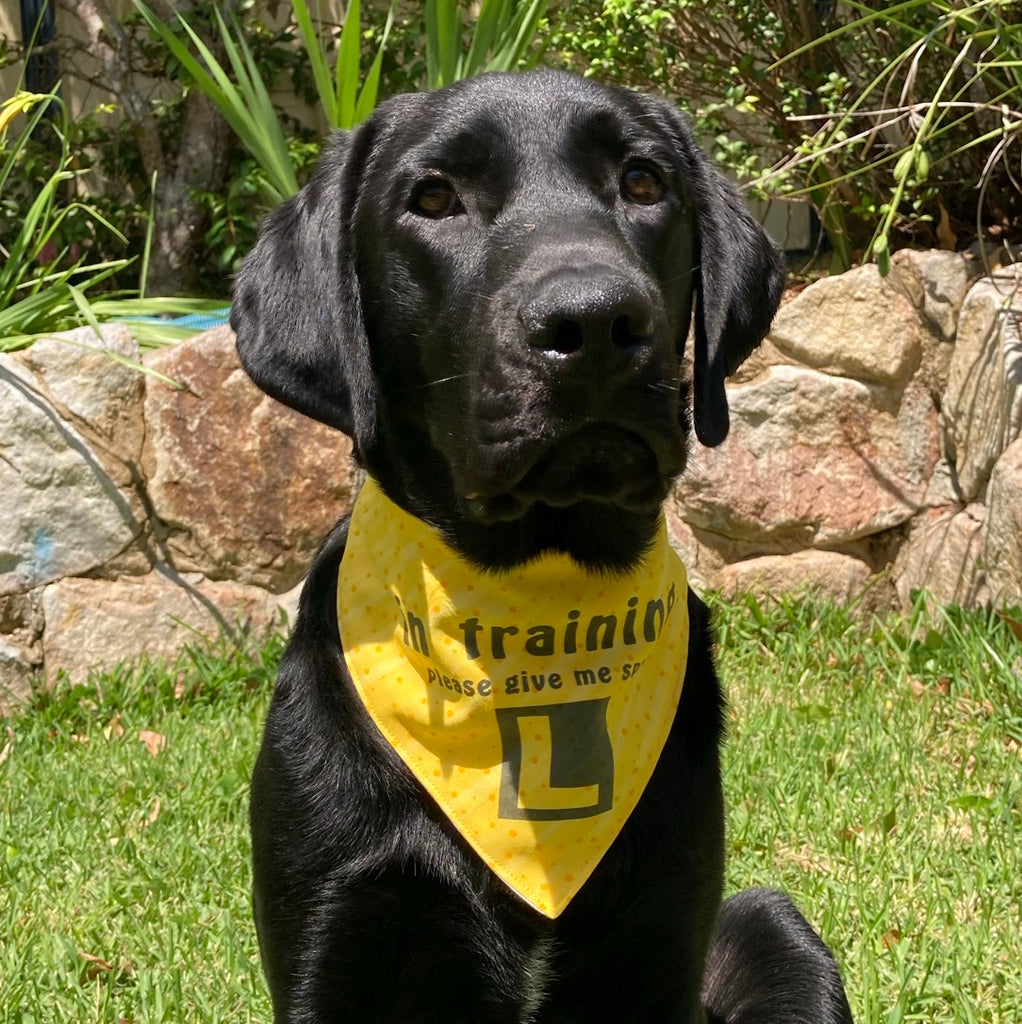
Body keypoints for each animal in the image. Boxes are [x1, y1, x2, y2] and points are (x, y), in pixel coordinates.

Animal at [232, 70, 856, 1024]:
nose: (595, 321)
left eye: (642, 181)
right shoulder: (335, 934)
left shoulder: (663, 929)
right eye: (433, 197)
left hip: (772, 925)